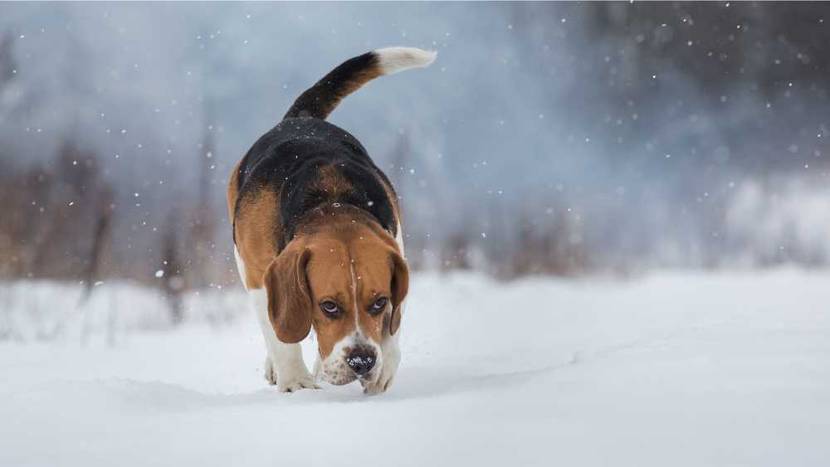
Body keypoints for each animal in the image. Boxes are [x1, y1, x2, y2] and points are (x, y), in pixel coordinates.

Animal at [226, 47, 436, 394]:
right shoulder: (256, 274)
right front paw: (296, 383)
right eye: (329, 306)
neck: (330, 201)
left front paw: (383, 366)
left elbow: (393, 325)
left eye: (379, 302)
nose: (362, 361)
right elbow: (280, 335)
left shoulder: (397, 249)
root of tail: (299, 118)